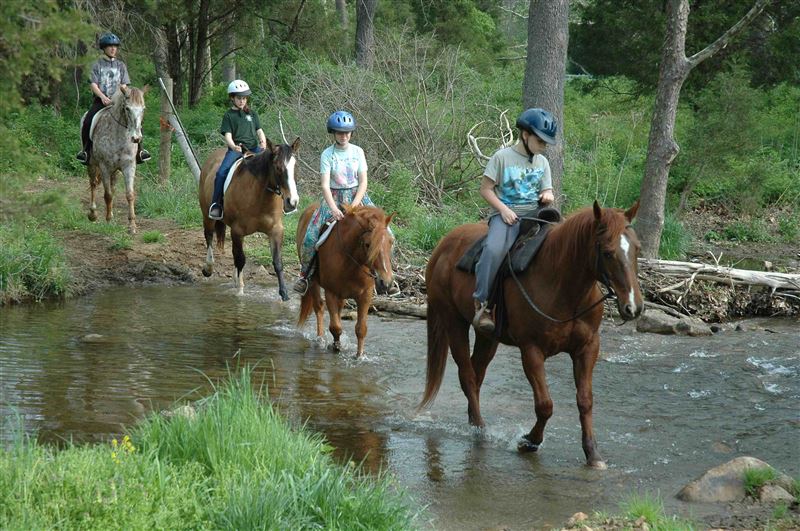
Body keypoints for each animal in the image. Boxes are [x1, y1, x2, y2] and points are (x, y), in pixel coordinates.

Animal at [86, 85, 148, 234]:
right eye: (127, 108)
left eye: (143, 109)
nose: (136, 138)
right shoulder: (104, 167)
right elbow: (107, 194)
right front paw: (108, 221)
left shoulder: (128, 166)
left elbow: (129, 194)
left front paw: (132, 226)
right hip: (92, 165)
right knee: (93, 184)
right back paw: (93, 214)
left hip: (115, 171)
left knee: (112, 187)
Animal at [198, 138, 300, 300]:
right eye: (278, 167)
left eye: (295, 167)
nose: (293, 202)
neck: (259, 196)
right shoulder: (237, 231)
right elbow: (240, 259)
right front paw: (240, 291)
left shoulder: (276, 231)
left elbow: (277, 262)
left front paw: (284, 295)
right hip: (207, 215)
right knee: (209, 237)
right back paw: (208, 268)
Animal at [296, 203, 395, 358]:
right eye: (368, 244)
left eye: (391, 242)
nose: (386, 283)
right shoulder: (331, 292)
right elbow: (335, 327)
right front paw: (336, 347)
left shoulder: (365, 295)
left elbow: (361, 329)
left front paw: (359, 356)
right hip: (313, 282)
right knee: (319, 307)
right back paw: (320, 339)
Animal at [418, 200, 644, 469]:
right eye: (608, 252)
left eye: (637, 249)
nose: (633, 307)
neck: (563, 285)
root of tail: (442, 245)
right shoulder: (531, 350)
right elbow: (545, 405)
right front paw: (528, 441)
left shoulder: (588, 347)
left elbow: (585, 400)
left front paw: (593, 454)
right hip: (454, 322)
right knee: (468, 375)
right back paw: (481, 431)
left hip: (488, 337)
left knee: (477, 371)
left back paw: (475, 422)